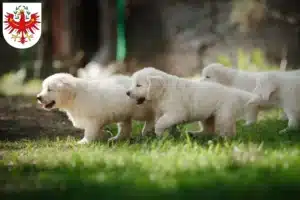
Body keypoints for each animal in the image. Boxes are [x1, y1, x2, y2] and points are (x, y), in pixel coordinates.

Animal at [126, 67, 260, 138]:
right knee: (208, 129)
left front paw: (159, 134)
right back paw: (195, 134)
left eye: (138, 85)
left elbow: (161, 123)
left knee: (227, 128)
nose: (127, 92)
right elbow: (161, 122)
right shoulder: (162, 112)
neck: (164, 91)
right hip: (207, 117)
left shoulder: (176, 113)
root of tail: (232, 92)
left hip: (223, 114)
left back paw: (224, 139)